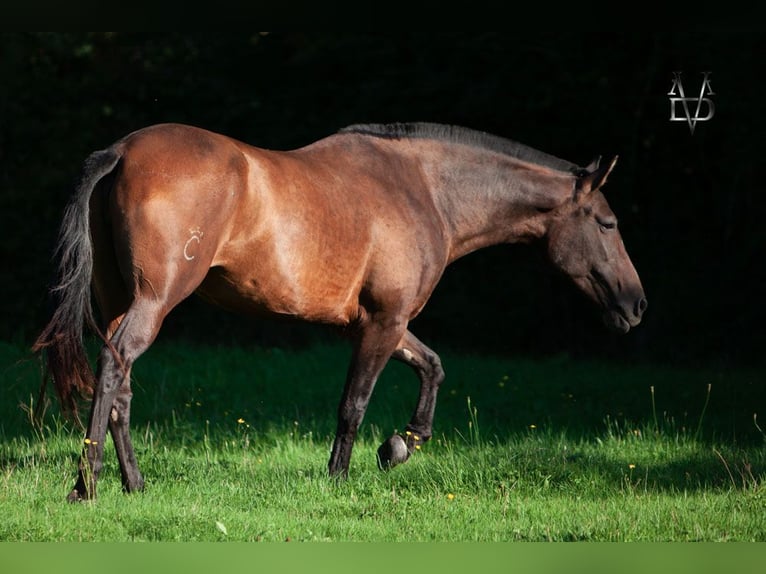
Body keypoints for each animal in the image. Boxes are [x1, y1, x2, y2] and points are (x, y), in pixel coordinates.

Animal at [34, 122, 648, 504]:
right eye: (608, 223)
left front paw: (401, 444)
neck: (425, 190)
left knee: (121, 385)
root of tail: (121, 152)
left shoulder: (385, 323)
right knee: (113, 371)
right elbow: (353, 405)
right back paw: (86, 485)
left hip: (122, 304)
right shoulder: (384, 323)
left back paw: (134, 485)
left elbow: (433, 367)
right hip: (153, 302)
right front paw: (341, 474)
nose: (636, 305)